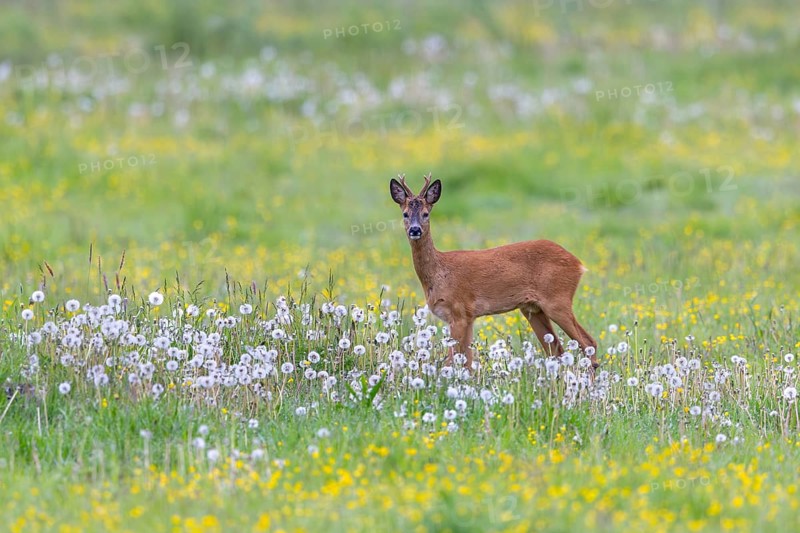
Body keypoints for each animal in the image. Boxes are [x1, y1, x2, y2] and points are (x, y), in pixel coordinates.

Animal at [389, 173, 599, 371]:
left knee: (589, 343)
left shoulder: (458, 312)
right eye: (405, 214)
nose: (415, 230)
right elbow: (467, 361)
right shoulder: (468, 317)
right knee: (557, 350)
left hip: (557, 300)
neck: (438, 274)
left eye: (426, 214)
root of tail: (578, 264)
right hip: (533, 308)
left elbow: (452, 360)